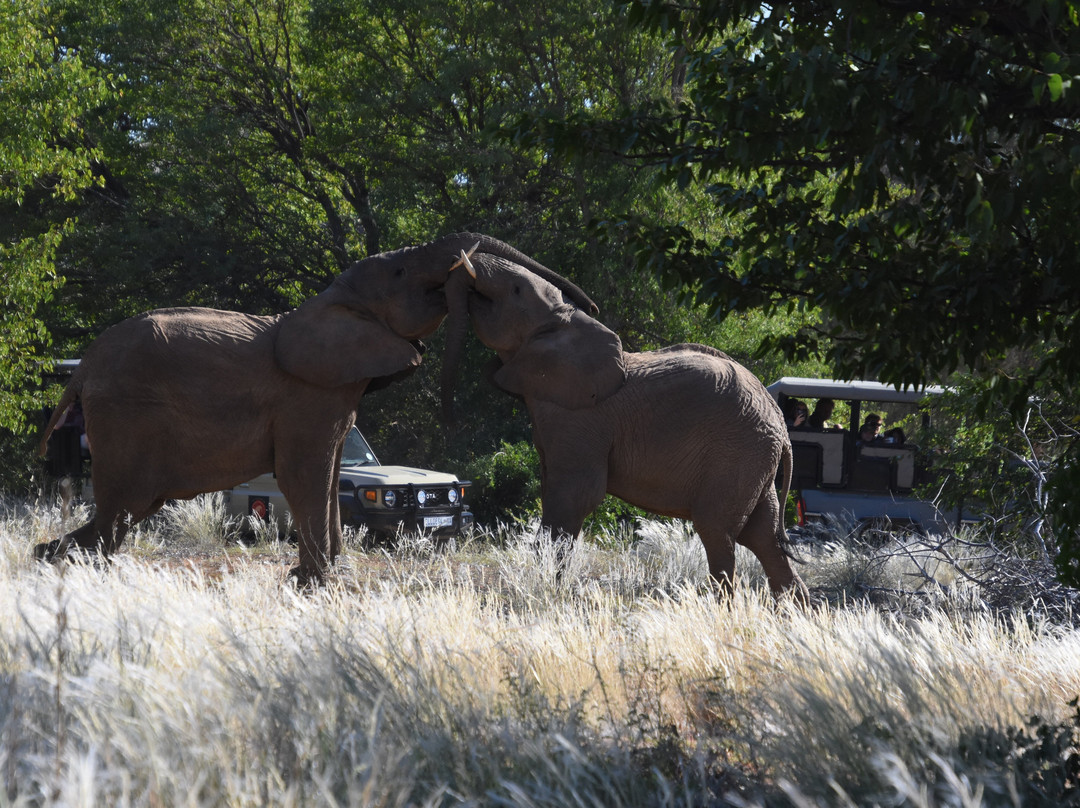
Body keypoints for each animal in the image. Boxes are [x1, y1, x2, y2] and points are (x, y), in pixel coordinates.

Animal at [36, 233, 597, 584]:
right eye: (402, 271)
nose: (586, 305)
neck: (332, 301)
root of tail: (84, 366)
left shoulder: (337, 398)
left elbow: (327, 480)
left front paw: (329, 576)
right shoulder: (307, 394)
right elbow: (304, 474)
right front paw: (315, 582)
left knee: (124, 509)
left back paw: (51, 557)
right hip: (126, 416)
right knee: (123, 504)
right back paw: (73, 565)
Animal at [441, 252, 808, 600]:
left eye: (516, 290)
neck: (567, 324)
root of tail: (782, 430)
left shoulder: (583, 420)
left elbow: (575, 497)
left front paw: (548, 592)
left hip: (737, 453)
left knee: (719, 531)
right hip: (756, 461)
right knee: (762, 536)